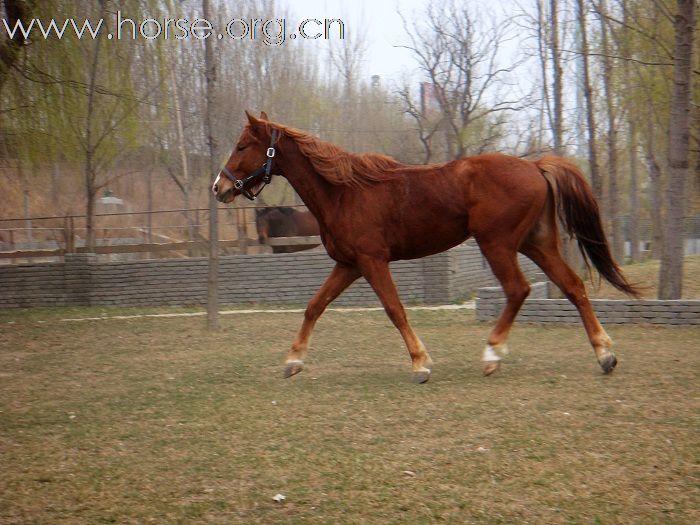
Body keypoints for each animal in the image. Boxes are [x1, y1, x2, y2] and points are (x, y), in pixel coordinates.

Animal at [213, 111, 640, 380]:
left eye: (241, 145)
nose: (218, 187)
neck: (343, 192)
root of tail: (534, 166)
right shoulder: (349, 264)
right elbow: (314, 306)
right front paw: (293, 361)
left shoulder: (372, 261)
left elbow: (395, 310)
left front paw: (420, 364)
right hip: (536, 243)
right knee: (573, 287)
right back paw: (605, 354)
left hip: (498, 244)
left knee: (518, 289)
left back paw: (492, 355)